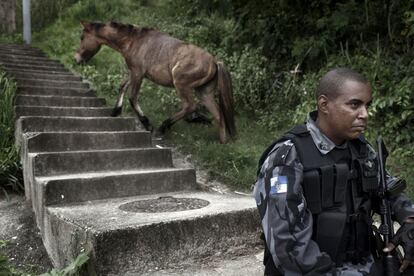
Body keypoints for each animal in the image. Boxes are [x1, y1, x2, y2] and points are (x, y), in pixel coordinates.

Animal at [74, 21, 236, 143]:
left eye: (82, 37)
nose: (76, 59)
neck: (132, 41)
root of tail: (215, 61)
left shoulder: (138, 73)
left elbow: (132, 98)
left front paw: (147, 124)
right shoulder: (134, 72)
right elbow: (122, 86)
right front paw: (115, 111)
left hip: (182, 85)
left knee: (190, 106)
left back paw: (162, 128)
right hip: (204, 92)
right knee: (218, 114)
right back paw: (222, 141)